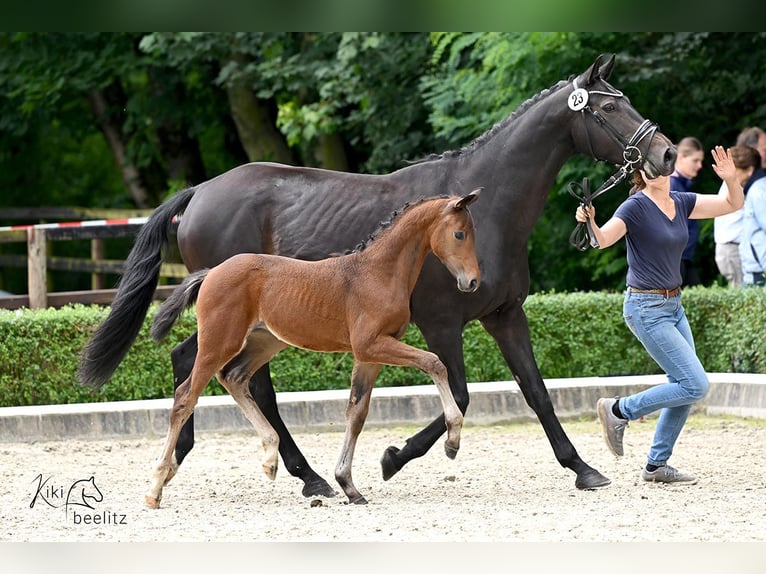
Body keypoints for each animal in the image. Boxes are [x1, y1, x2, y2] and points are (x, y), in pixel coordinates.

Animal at [146, 190, 480, 508]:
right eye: (459, 234)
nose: (473, 282)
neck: (378, 272)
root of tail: (211, 273)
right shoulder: (371, 344)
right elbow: (434, 362)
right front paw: (452, 441)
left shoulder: (369, 355)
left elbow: (357, 413)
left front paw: (348, 485)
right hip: (219, 341)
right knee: (186, 397)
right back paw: (156, 486)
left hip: (265, 341)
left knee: (234, 377)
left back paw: (270, 458)